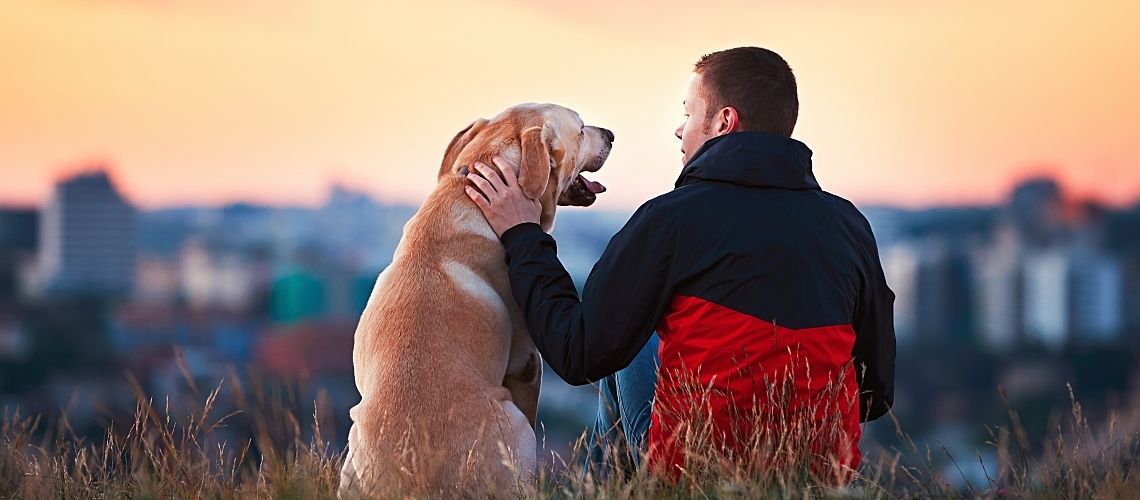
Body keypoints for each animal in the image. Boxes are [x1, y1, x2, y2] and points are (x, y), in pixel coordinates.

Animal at [337, 101, 615, 496]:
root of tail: (416, 486)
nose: (611, 134)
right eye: (579, 129)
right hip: (514, 424)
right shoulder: (527, 362)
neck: (468, 193)